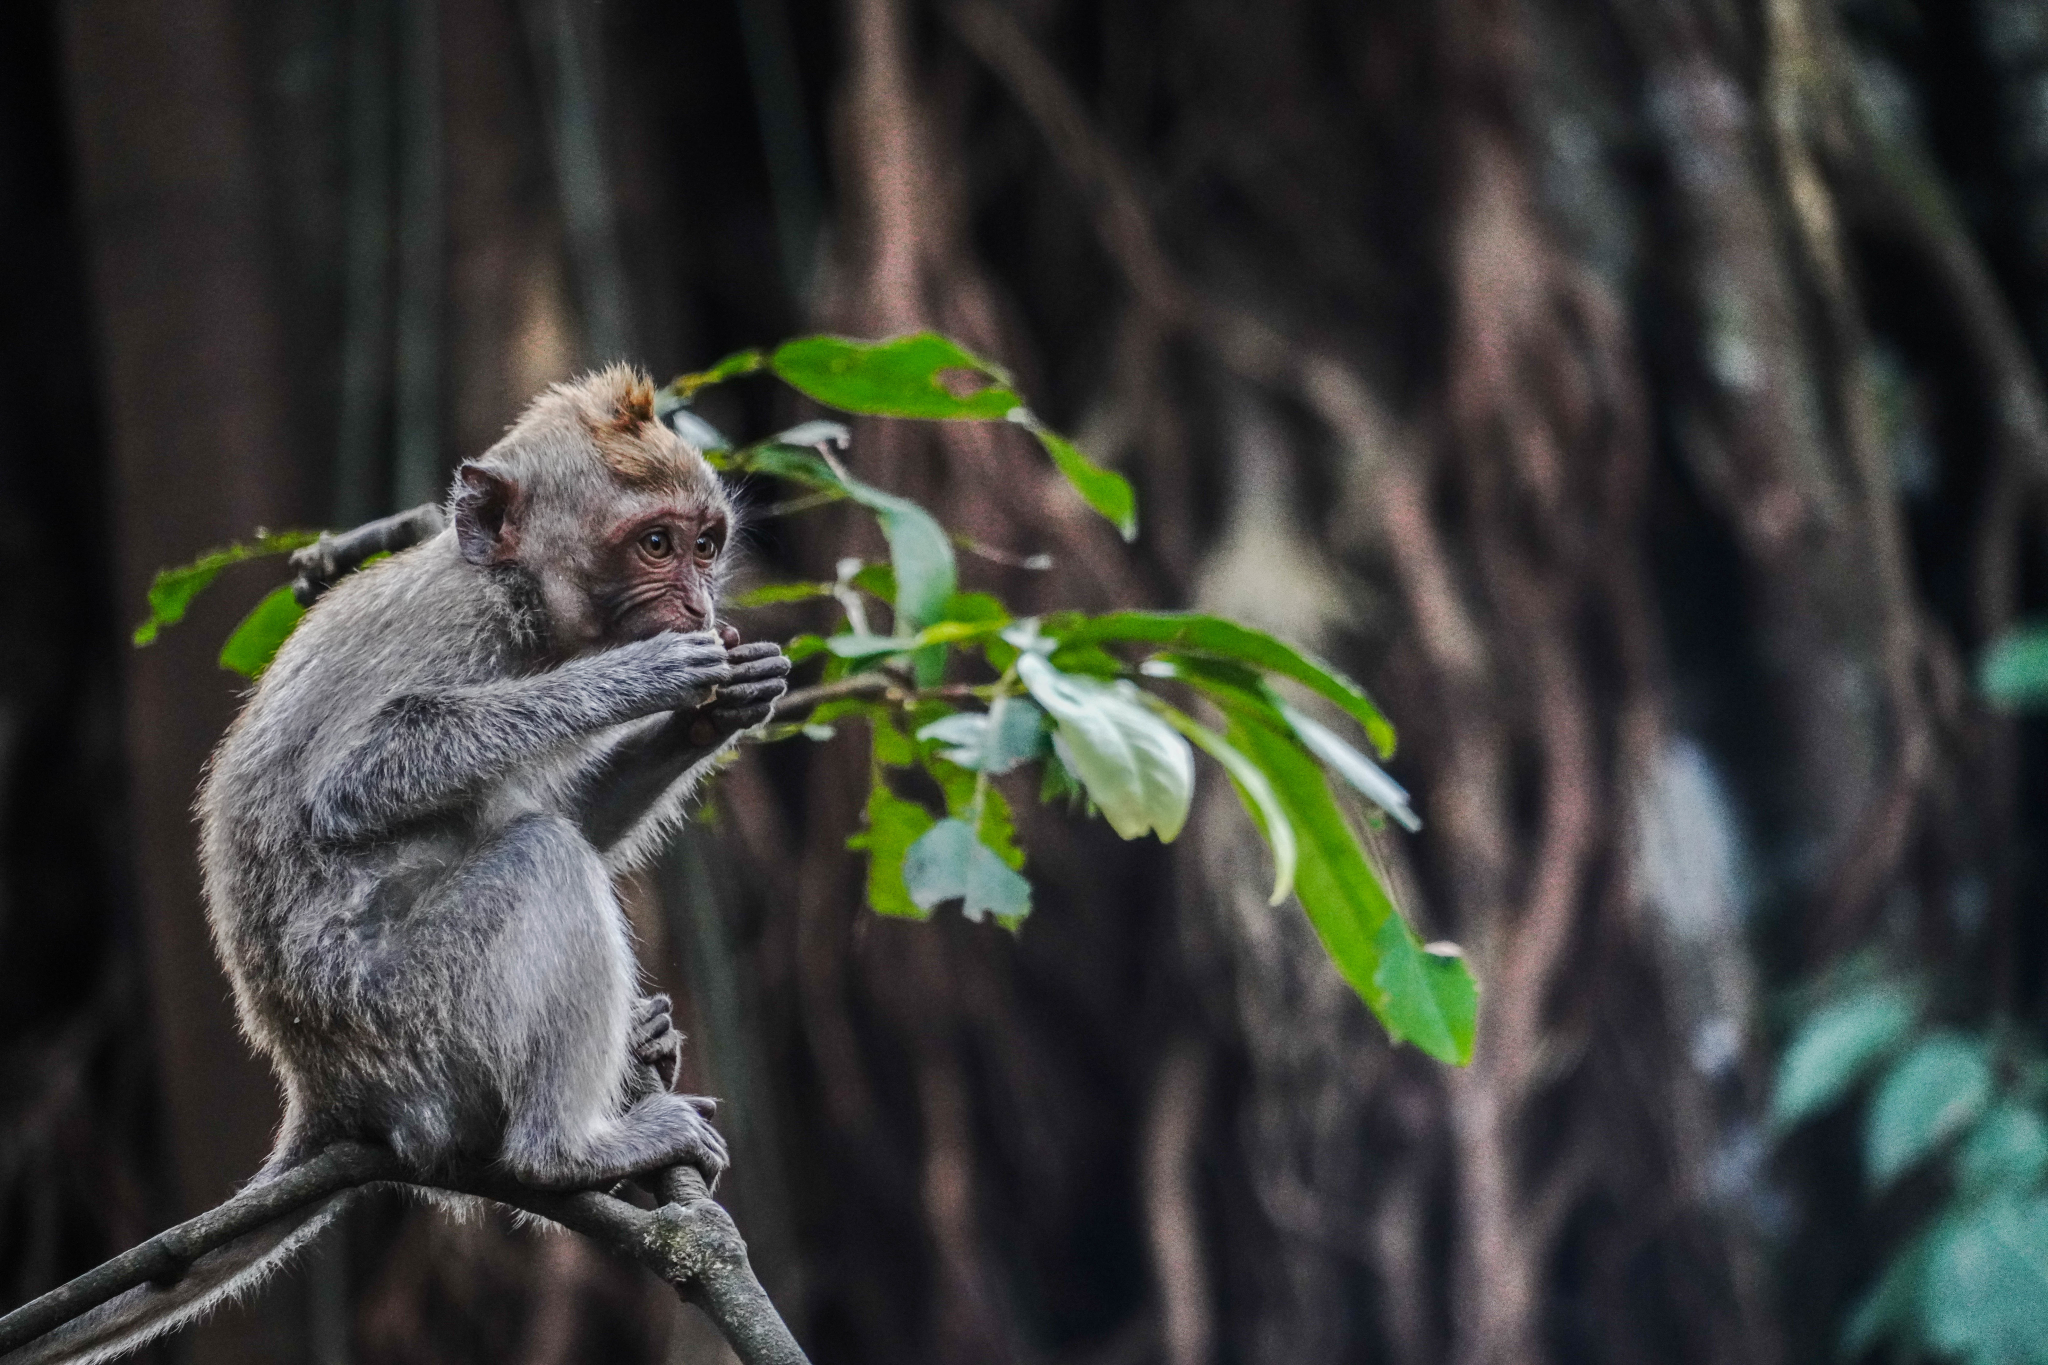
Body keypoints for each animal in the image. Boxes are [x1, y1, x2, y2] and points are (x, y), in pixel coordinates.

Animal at [19, 366, 794, 1365]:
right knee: (540, 858)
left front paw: (716, 713)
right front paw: (642, 679)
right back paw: (567, 1149)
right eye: (655, 544)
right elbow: (358, 780)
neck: (517, 599)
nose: (698, 606)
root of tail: (323, 1086)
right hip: (412, 1018)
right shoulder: (458, 633)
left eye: (706, 545)